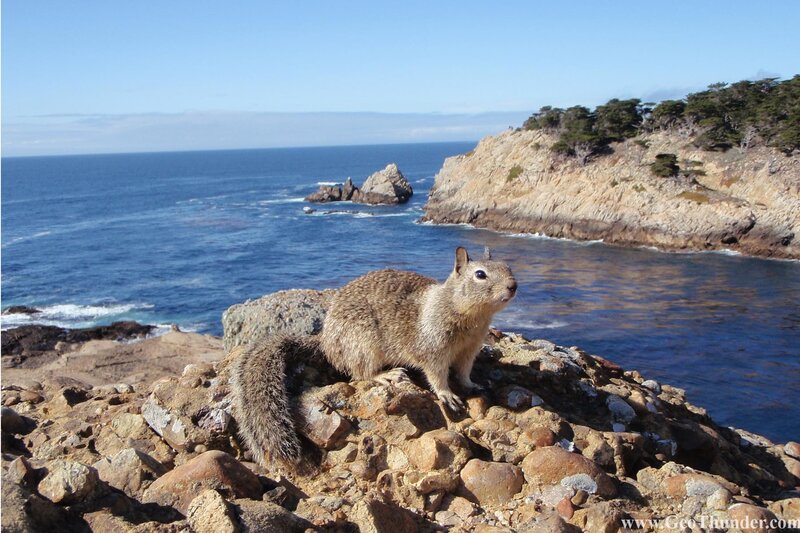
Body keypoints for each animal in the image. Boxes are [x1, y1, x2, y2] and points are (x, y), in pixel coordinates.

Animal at [231, 246, 517, 467]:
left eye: (507, 267)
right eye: (480, 274)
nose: (513, 286)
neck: (469, 315)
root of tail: (325, 341)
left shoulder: (470, 349)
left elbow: (464, 371)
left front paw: (472, 384)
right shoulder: (433, 348)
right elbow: (437, 375)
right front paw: (447, 394)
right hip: (364, 346)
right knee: (360, 375)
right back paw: (386, 374)